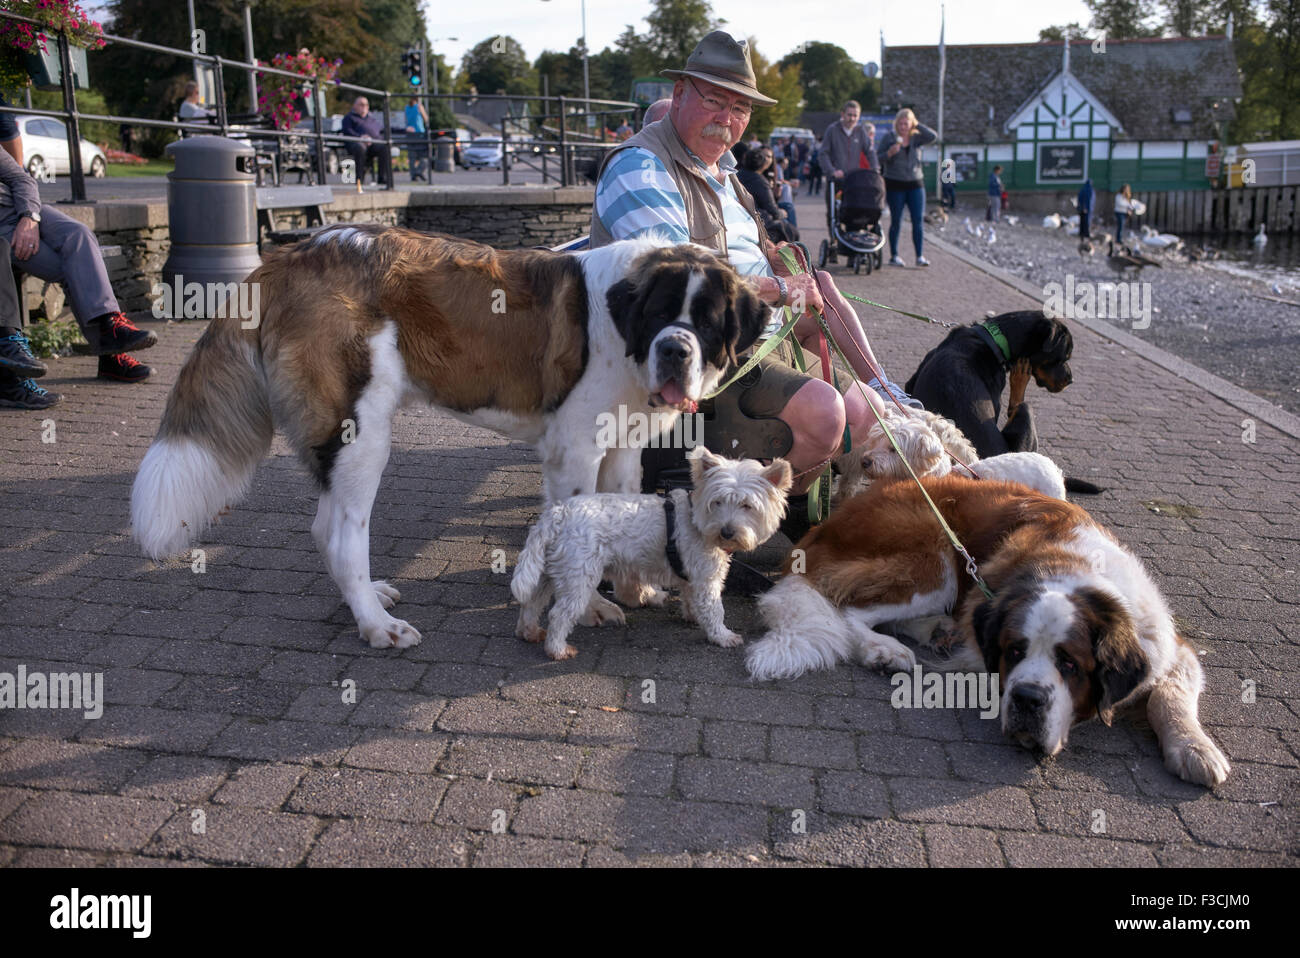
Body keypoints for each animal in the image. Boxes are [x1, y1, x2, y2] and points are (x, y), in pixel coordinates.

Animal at [131, 226, 764, 649]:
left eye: (708, 322)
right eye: (659, 314)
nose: (675, 349)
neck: (619, 330)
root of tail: (288, 256)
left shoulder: (623, 445)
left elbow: (622, 509)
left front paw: (634, 591)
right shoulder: (575, 452)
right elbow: (578, 529)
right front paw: (587, 610)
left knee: (324, 525)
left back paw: (369, 598)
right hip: (362, 431)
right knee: (342, 532)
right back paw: (376, 625)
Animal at [748, 478, 1232, 785]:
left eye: (1070, 664)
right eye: (1014, 651)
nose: (1028, 699)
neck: (1078, 575)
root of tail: (823, 525)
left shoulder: (1167, 645)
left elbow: (1172, 694)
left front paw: (1196, 749)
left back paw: (934, 630)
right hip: (938, 554)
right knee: (847, 607)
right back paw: (883, 651)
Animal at [904, 310, 1076, 460]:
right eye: (1064, 357)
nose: (1070, 380)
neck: (994, 342)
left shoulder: (911, 382)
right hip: (1024, 425)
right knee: (1020, 405)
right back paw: (1020, 377)